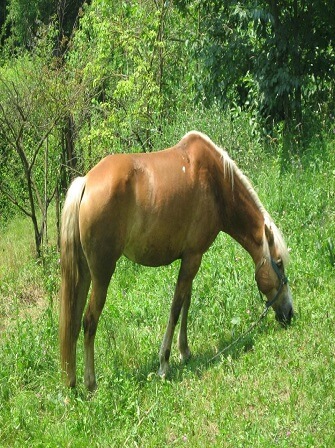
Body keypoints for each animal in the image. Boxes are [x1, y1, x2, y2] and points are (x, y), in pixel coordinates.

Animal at [60, 131, 294, 390]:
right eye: (279, 263)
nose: (289, 314)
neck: (215, 181)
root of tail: (86, 182)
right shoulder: (193, 258)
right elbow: (175, 307)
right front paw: (164, 363)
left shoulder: (191, 257)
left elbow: (185, 304)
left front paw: (185, 351)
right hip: (102, 275)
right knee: (89, 321)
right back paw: (90, 383)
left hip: (84, 273)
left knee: (73, 320)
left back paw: (72, 381)